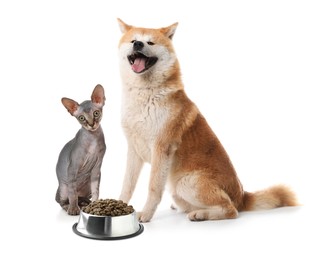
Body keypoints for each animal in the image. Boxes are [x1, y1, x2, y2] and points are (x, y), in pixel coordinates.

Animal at [55, 84, 106, 215]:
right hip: (64, 186)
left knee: (81, 196)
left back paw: (84, 203)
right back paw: (69, 206)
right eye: (82, 118)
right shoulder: (72, 168)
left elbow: (96, 190)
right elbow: (72, 194)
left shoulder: (97, 168)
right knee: (63, 199)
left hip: (89, 182)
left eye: (96, 113)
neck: (93, 139)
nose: (91, 124)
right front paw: (73, 209)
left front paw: (96, 205)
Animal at [116, 18, 298, 222]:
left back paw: (200, 214)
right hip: (178, 189)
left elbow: (153, 188)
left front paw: (146, 214)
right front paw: (118, 205)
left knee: (230, 210)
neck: (144, 95)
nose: (138, 44)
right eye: (133, 40)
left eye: (150, 43)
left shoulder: (161, 149)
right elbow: (127, 184)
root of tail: (242, 197)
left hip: (186, 183)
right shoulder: (133, 149)